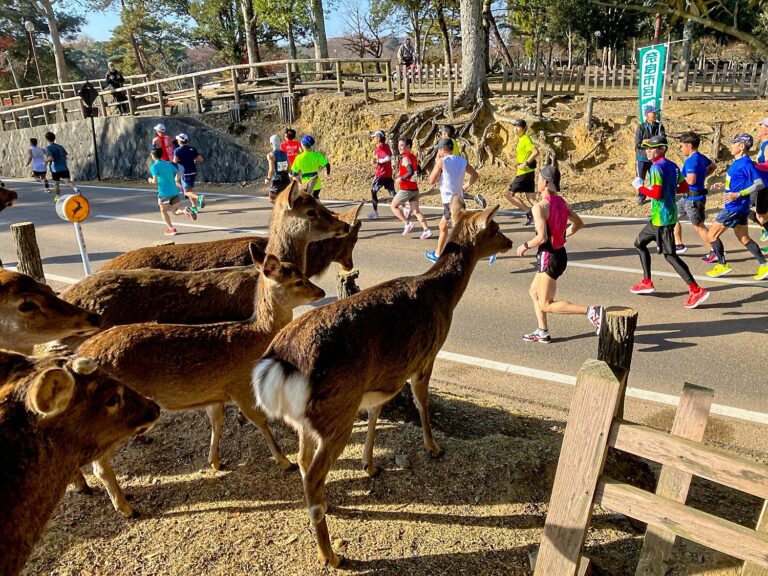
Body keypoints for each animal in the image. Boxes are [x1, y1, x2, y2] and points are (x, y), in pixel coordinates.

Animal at [77, 246, 325, 518]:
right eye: (298, 281)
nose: (321, 292)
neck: (257, 338)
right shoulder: (241, 385)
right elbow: (260, 421)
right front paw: (285, 462)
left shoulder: (216, 394)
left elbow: (217, 423)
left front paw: (215, 461)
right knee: (100, 464)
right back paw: (127, 508)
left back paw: (85, 487)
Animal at [252, 197, 513, 567]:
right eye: (496, 227)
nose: (509, 243)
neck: (444, 295)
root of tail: (278, 361)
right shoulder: (426, 356)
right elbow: (422, 402)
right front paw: (433, 448)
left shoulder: (378, 380)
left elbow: (376, 412)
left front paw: (370, 465)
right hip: (336, 410)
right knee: (314, 473)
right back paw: (331, 555)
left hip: (310, 417)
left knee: (303, 461)